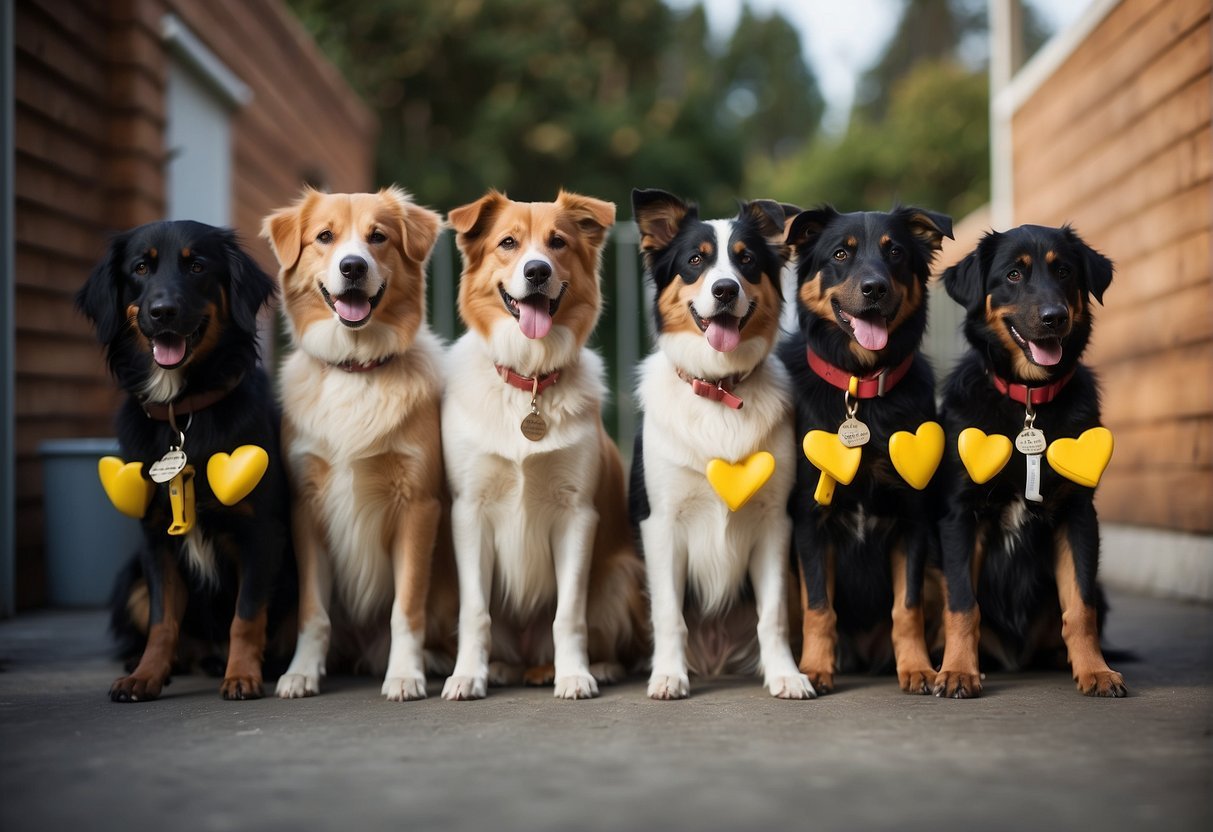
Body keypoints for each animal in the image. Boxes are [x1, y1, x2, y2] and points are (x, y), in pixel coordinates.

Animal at [77, 219, 292, 703]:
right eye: (141, 267)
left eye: (197, 266)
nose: (163, 312)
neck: (183, 411)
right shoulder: (155, 536)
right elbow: (163, 621)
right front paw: (146, 676)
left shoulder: (260, 532)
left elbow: (246, 615)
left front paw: (242, 675)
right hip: (131, 579)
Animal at [781, 207, 950, 698]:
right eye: (841, 253)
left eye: (895, 252)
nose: (874, 288)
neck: (863, 390)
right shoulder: (810, 521)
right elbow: (820, 606)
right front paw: (814, 668)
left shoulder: (913, 519)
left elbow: (906, 608)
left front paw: (917, 669)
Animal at [931, 224, 1120, 698]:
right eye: (1014, 274)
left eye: (1065, 271)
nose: (1055, 317)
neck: (1029, 400)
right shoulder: (960, 515)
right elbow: (962, 604)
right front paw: (957, 671)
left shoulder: (1077, 513)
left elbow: (1081, 607)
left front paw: (1095, 670)